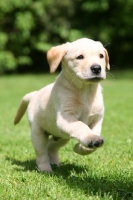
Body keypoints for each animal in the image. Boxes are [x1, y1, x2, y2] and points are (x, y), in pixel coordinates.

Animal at [14, 38, 110, 172]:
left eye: (101, 56)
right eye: (80, 57)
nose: (97, 68)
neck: (85, 91)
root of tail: (35, 94)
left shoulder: (97, 118)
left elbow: (94, 133)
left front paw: (82, 147)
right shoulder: (66, 118)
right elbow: (81, 126)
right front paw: (90, 139)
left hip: (62, 137)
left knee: (51, 147)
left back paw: (55, 163)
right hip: (38, 133)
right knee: (41, 153)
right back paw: (45, 169)